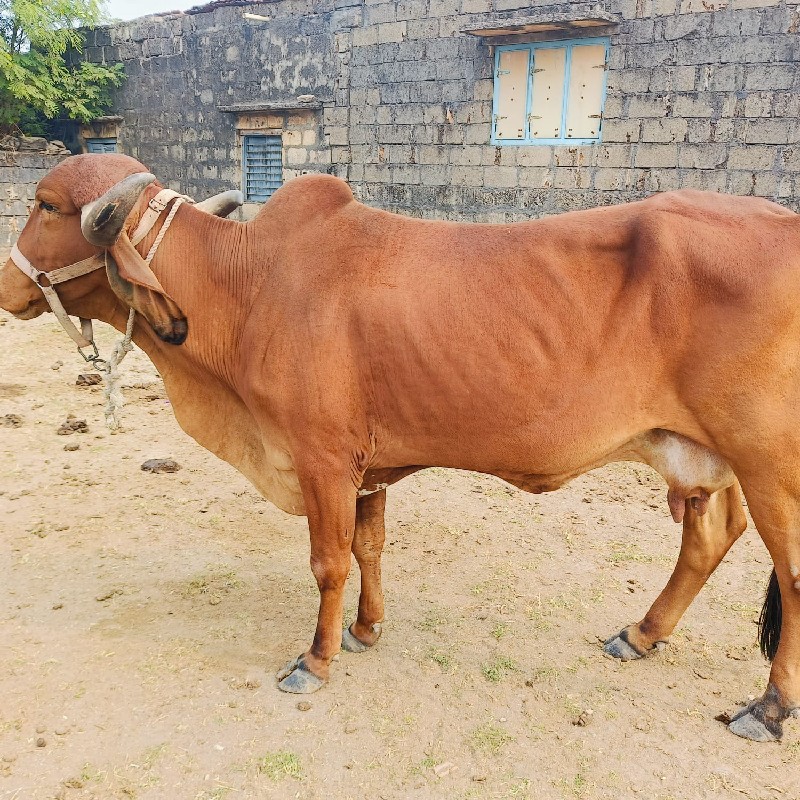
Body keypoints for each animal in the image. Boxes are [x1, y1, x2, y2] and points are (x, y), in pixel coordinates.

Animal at [1, 155, 800, 744]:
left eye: (46, 205)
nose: (7, 284)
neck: (246, 287)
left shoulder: (322, 459)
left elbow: (328, 563)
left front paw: (317, 658)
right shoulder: (367, 468)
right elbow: (369, 547)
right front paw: (365, 629)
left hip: (770, 460)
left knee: (789, 577)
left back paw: (767, 709)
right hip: (707, 453)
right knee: (711, 535)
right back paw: (641, 633)